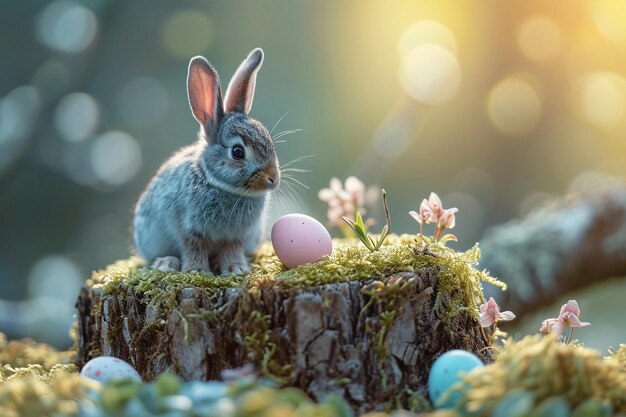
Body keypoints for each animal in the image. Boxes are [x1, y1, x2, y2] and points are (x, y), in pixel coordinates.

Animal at [133, 48, 280, 274]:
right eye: (238, 152)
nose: (273, 179)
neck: (219, 183)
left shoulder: (237, 235)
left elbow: (232, 249)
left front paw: (236, 268)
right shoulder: (187, 227)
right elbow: (193, 247)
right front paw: (197, 270)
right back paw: (167, 263)